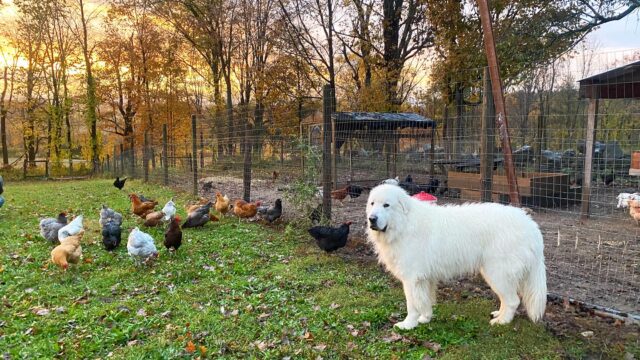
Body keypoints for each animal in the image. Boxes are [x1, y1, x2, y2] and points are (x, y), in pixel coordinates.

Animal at [368, 186, 548, 330]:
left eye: (386, 205)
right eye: (372, 204)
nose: (372, 219)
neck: (403, 223)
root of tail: (530, 225)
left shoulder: (412, 279)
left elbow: (412, 304)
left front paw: (408, 325)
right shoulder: (425, 279)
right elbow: (425, 301)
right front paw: (425, 318)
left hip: (498, 272)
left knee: (513, 301)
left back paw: (502, 322)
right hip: (495, 273)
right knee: (506, 299)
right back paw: (498, 314)